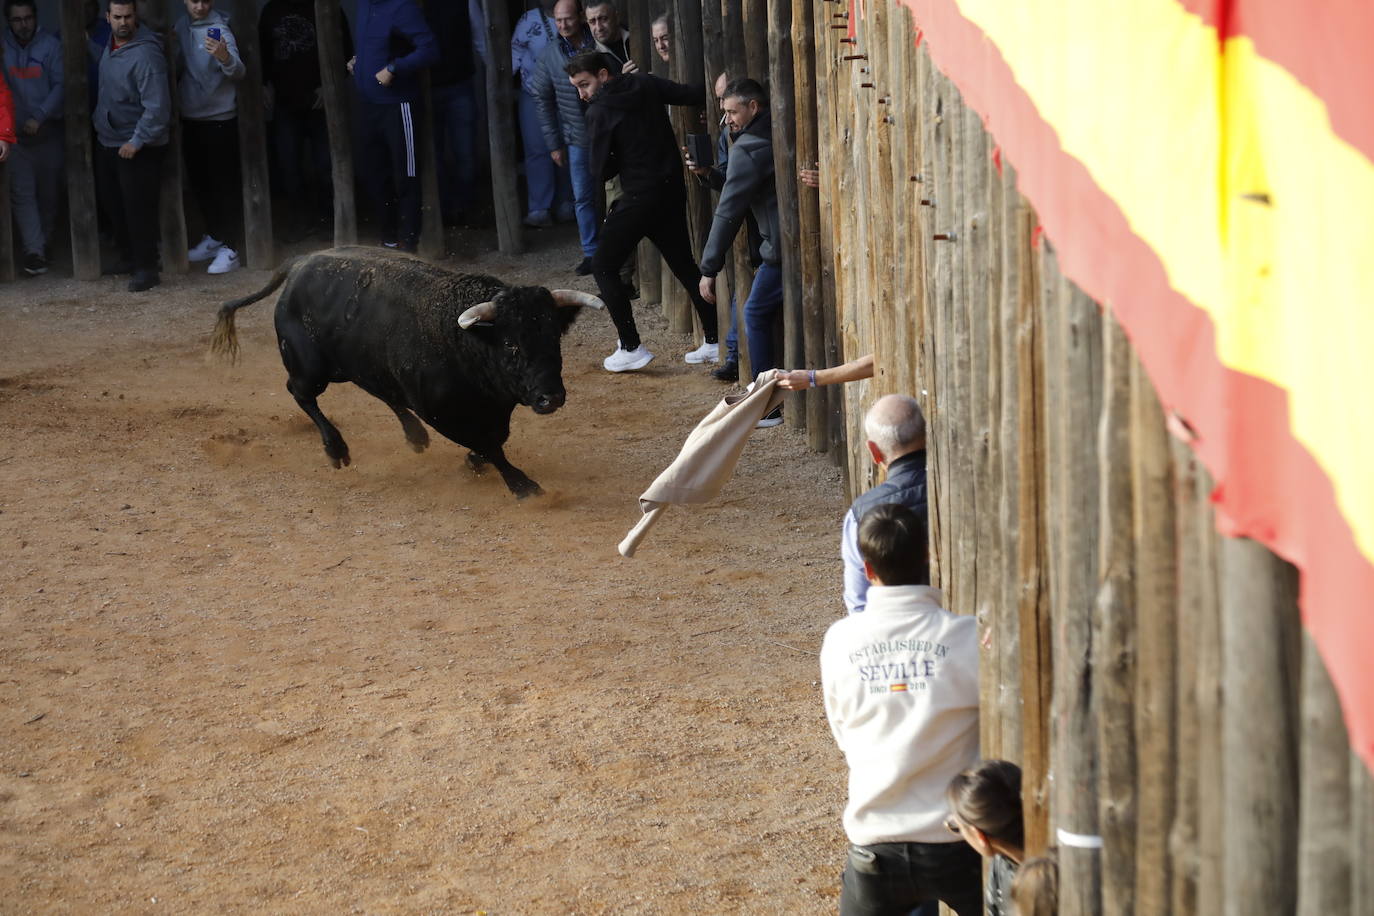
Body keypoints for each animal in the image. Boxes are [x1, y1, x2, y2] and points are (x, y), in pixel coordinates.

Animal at [206, 247, 604, 497]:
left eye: (554, 338)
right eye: (511, 345)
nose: (551, 397)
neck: (463, 341)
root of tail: (301, 263)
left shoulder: (494, 405)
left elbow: (496, 438)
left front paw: (475, 464)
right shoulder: (442, 413)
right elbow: (487, 443)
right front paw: (523, 486)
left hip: (357, 364)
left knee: (380, 391)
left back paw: (414, 436)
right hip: (311, 368)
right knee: (300, 392)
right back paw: (336, 449)